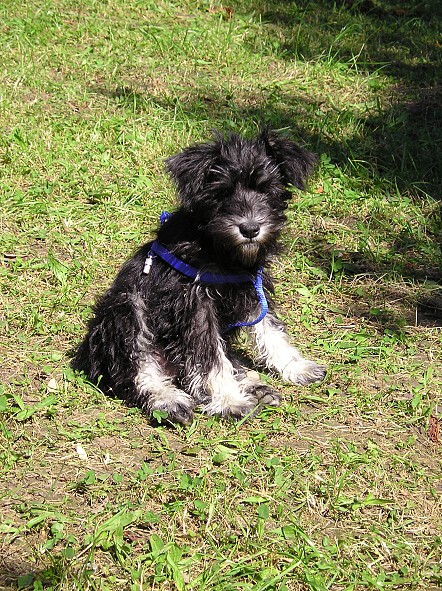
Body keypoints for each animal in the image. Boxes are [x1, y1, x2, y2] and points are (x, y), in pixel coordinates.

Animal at [72, 130, 326, 424]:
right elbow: (209, 356)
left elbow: (270, 330)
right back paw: (168, 400)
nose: (250, 228)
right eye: (222, 192)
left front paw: (296, 366)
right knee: (139, 368)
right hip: (125, 310)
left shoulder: (252, 291)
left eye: (266, 189)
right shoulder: (195, 306)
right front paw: (229, 400)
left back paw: (255, 386)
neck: (217, 247)